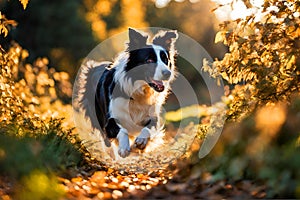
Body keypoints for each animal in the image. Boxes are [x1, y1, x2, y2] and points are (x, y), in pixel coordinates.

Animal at [81, 28, 177, 157]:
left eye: (165, 60)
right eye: (149, 60)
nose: (168, 73)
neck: (139, 90)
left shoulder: (152, 115)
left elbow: (149, 127)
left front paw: (141, 142)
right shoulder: (110, 119)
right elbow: (122, 131)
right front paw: (124, 148)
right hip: (96, 114)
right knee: (106, 139)